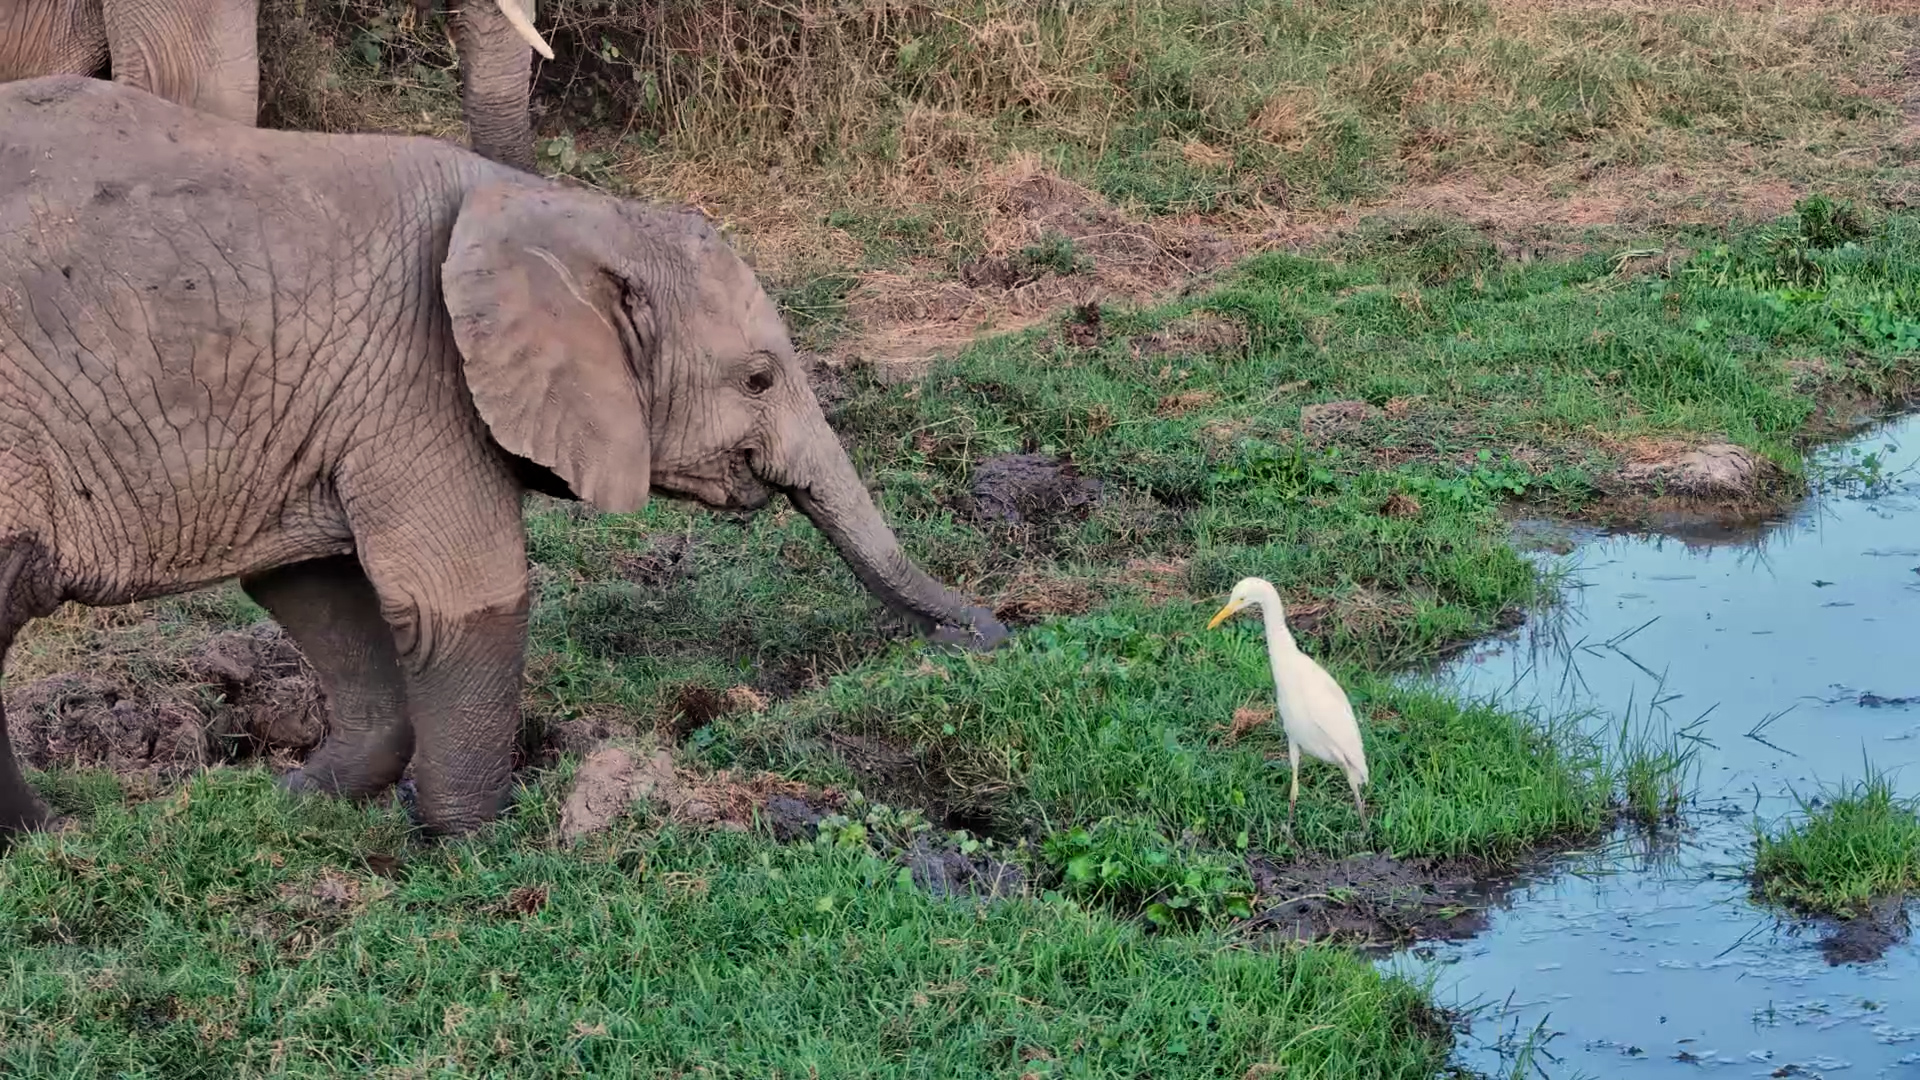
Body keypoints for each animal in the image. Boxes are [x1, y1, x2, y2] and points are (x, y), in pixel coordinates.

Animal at [0, 75, 1009, 838]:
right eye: (758, 379)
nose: (990, 637)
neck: (557, 208)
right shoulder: (414, 375)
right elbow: (458, 598)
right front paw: (478, 845)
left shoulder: (321, 400)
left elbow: (314, 588)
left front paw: (295, 804)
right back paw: (48, 838)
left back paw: (44, 841)